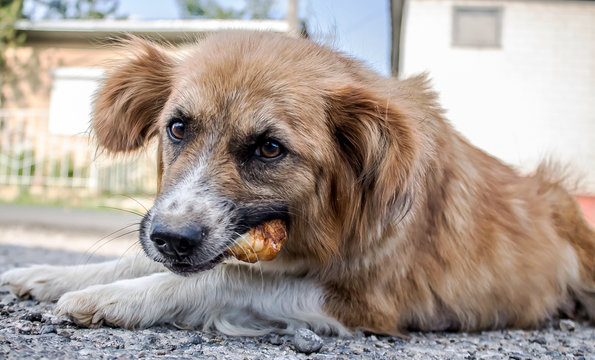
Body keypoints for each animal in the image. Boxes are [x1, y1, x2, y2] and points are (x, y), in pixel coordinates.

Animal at [1, 32, 595, 336]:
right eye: (177, 128)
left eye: (269, 148)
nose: (170, 238)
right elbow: (136, 261)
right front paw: (49, 273)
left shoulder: (364, 303)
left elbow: (226, 279)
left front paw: (112, 298)